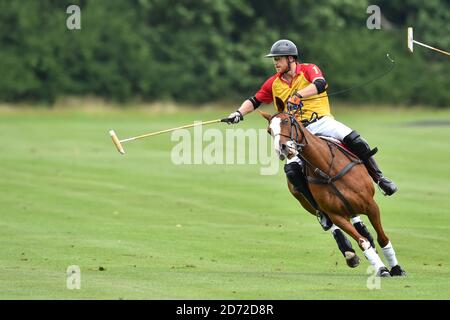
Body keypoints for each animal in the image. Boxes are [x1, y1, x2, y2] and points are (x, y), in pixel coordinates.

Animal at [258, 110, 406, 278]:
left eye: (286, 122)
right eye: (269, 130)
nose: (282, 148)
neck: (327, 169)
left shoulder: (371, 205)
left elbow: (382, 238)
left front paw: (396, 269)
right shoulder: (336, 214)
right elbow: (362, 242)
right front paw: (381, 268)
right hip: (313, 206)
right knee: (332, 224)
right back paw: (349, 253)